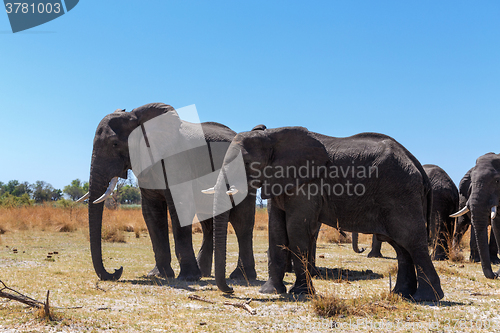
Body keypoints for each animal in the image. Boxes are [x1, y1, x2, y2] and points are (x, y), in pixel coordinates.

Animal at [81, 102, 258, 282]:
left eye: (115, 144)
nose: (117, 270)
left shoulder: (176, 160)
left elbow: (181, 208)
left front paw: (188, 277)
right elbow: (152, 214)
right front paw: (159, 275)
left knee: (242, 221)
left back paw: (241, 276)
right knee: (208, 223)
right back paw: (204, 273)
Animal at [209, 125, 444, 300]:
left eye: (247, 163)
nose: (231, 289)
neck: (272, 136)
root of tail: (417, 164)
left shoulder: (307, 182)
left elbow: (296, 229)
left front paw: (300, 294)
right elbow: (276, 230)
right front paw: (270, 291)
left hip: (401, 193)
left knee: (411, 241)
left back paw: (427, 297)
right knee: (401, 245)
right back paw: (401, 294)